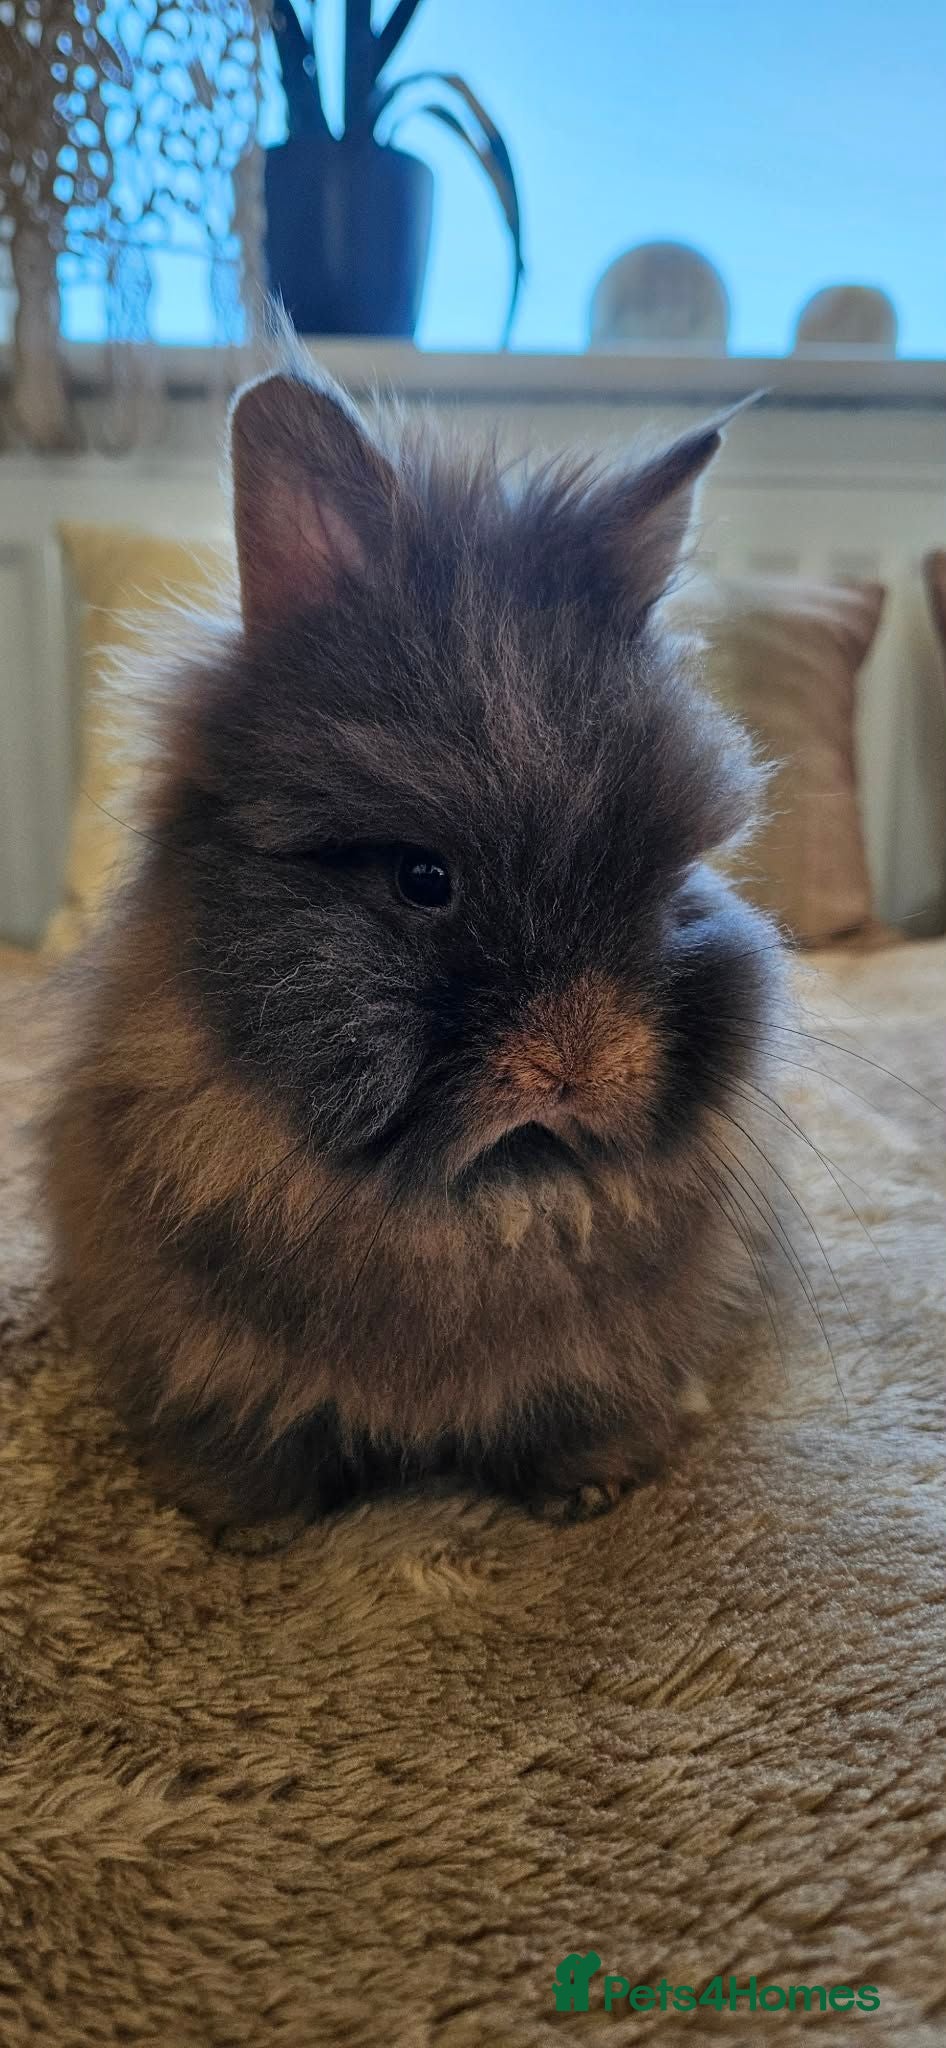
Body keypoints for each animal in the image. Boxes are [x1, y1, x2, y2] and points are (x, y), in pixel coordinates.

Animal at [45, 353, 783, 1543]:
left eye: (668, 882)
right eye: (422, 879)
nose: (580, 1066)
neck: (475, 1206)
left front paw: (589, 1490)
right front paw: (247, 1529)